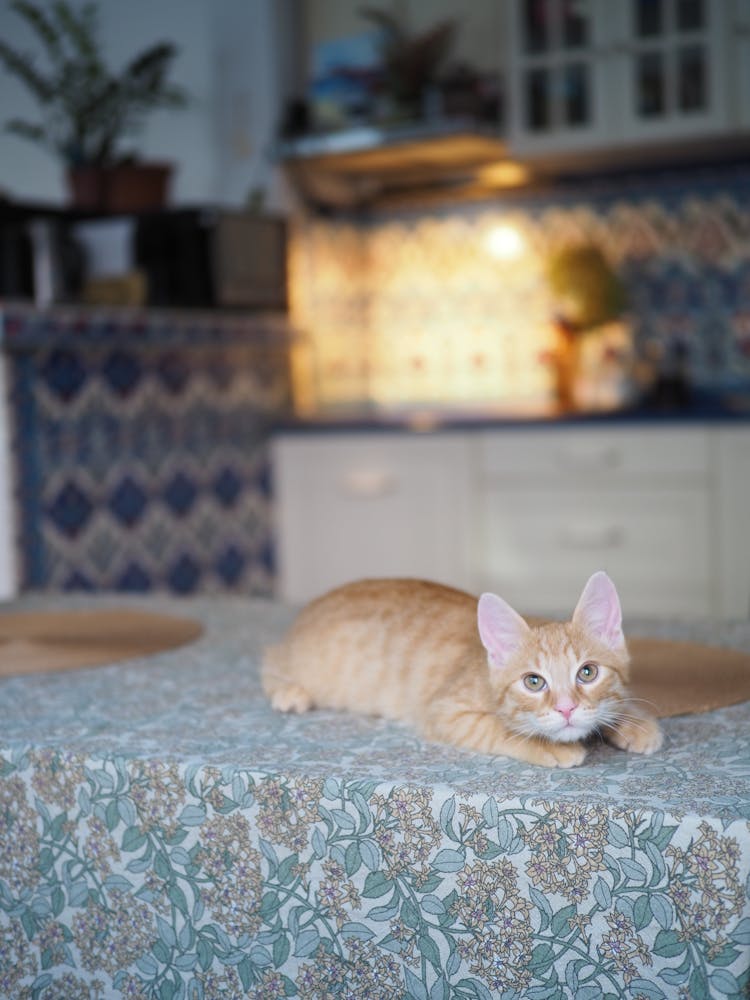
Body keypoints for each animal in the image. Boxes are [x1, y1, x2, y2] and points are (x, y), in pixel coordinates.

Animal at [264, 572, 664, 764]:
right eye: (534, 682)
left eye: (587, 672)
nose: (567, 709)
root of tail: (311, 606)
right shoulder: (443, 712)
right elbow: (497, 729)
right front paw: (550, 746)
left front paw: (633, 722)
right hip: (300, 660)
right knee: (268, 659)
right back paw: (289, 691)